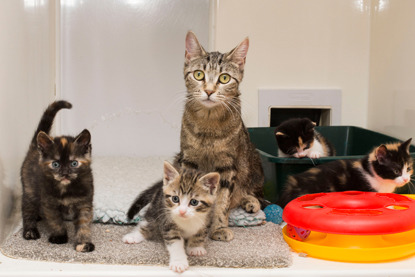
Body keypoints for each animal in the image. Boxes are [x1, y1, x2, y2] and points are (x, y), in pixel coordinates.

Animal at [20, 100, 94, 251]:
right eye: (55, 164)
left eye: (74, 163)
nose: (65, 173)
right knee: (27, 207)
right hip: (30, 188)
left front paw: (83, 242)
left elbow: (84, 222)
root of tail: (35, 147)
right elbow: (55, 221)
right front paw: (59, 236)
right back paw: (30, 230)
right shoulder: (49, 203)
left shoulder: (84, 202)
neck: (66, 189)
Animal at [174, 31, 264, 240]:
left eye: (224, 78)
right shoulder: (188, 160)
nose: (208, 91)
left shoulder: (227, 166)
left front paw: (219, 227)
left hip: (254, 165)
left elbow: (223, 201)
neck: (209, 126)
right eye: (198, 75)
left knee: (247, 191)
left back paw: (251, 201)